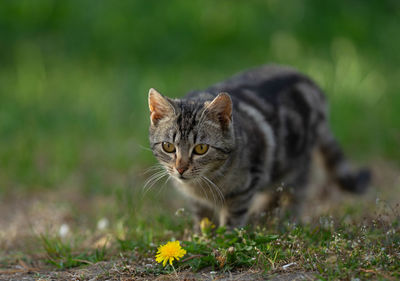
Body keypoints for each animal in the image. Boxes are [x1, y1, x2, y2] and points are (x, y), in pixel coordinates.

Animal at [148, 64, 372, 229]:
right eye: (168, 146)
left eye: (201, 149)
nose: (180, 168)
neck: (204, 184)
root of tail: (310, 82)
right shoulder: (198, 200)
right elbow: (203, 217)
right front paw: (202, 236)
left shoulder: (246, 185)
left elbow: (233, 215)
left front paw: (225, 238)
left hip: (296, 165)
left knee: (294, 193)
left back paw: (282, 221)